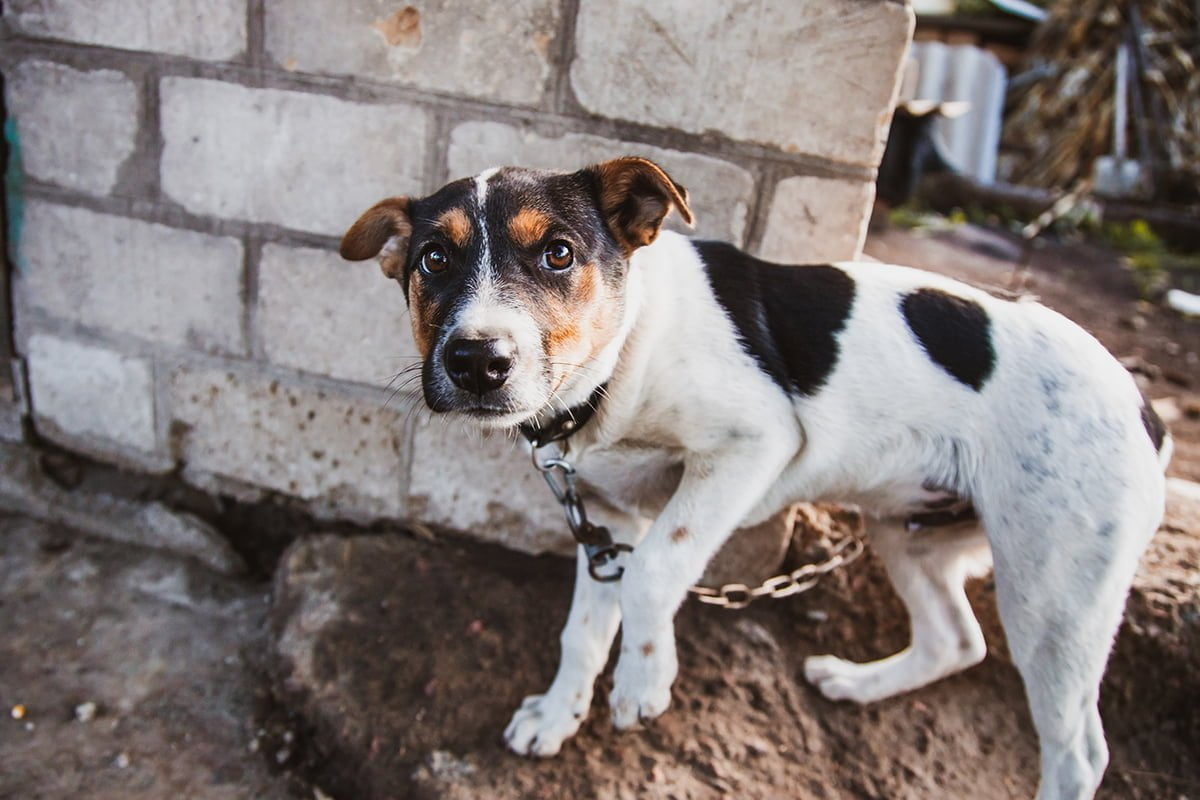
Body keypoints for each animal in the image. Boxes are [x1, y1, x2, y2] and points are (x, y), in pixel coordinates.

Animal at [340, 158, 1171, 800]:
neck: (625, 352)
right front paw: (557, 712)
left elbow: (653, 575)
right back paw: (857, 683)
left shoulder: (751, 445)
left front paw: (642, 684)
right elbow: (585, 627)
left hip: (1053, 595)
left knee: (1077, 750)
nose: (478, 362)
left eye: (558, 254)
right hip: (910, 534)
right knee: (955, 641)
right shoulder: (606, 519)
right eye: (432, 261)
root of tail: (1143, 405)